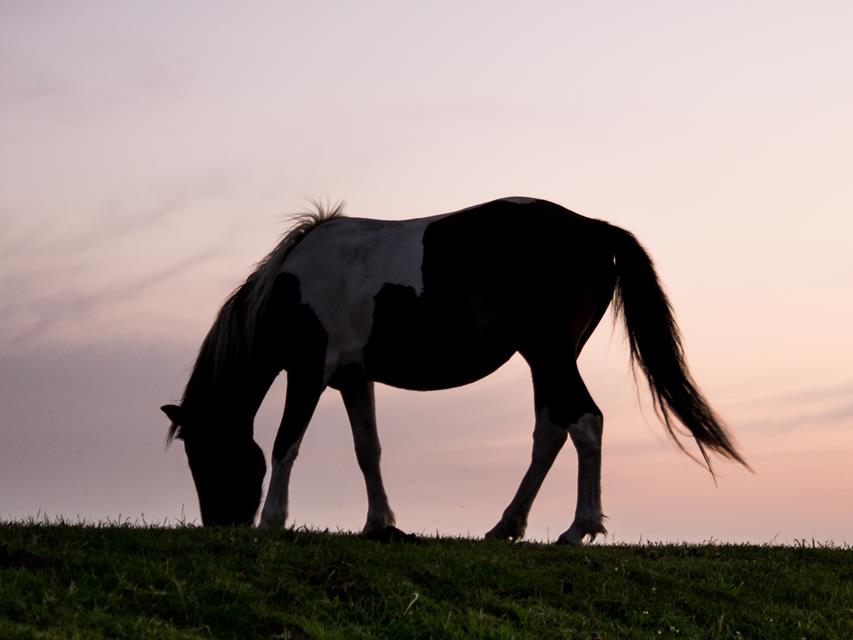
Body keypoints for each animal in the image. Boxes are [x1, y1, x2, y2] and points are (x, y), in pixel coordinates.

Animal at [161, 197, 747, 543]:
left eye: (203, 455)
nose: (221, 524)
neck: (290, 287)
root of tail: (594, 230)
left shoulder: (308, 372)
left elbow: (287, 443)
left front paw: (272, 521)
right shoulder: (353, 378)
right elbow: (367, 450)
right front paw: (380, 524)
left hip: (550, 353)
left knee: (584, 422)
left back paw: (578, 528)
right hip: (547, 359)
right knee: (552, 430)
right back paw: (507, 526)